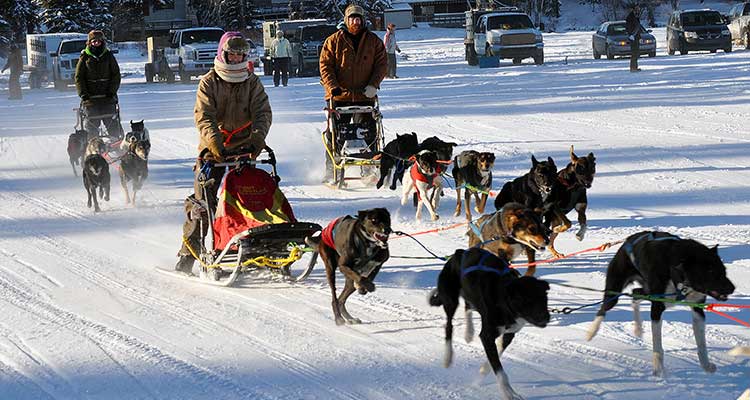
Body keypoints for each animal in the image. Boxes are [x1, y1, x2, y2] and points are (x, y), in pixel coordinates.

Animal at [428, 248, 552, 398]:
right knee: (449, 327)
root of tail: (460, 252)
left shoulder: (509, 334)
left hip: (470, 295)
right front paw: (509, 393)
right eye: (526, 300)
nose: (546, 317)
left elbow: (496, 355)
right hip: (450, 300)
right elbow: (500, 370)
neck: (503, 300)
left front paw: (482, 370)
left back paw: (469, 333)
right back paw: (448, 357)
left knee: (468, 307)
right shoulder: (487, 336)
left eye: (544, 298)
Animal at [588, 230, 736, 376]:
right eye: (710, 271)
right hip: (615, 293)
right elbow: (657, 345)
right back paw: (591, 332)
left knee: (635, 294)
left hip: (648, 291)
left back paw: (638, 328)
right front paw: (658, 368)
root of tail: (628, 240)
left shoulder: (697, 308)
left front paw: (706, 365)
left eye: (724, 270)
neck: (675, 268)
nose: (732, 288)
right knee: (604, 308)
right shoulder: (657, 308)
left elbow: (702, 344)